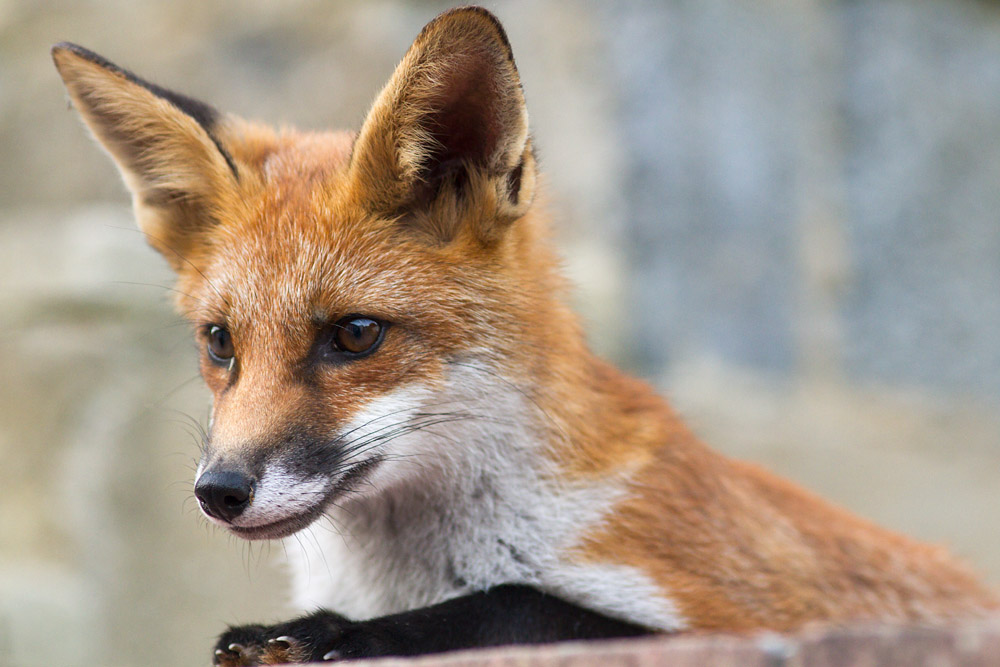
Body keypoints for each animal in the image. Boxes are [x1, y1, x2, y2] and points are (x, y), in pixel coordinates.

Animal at [53, 6, 998, 665]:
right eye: (220, 341)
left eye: (355, 334)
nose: (219, 490)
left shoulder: (739, 615)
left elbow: (513, 601)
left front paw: (332, 630)